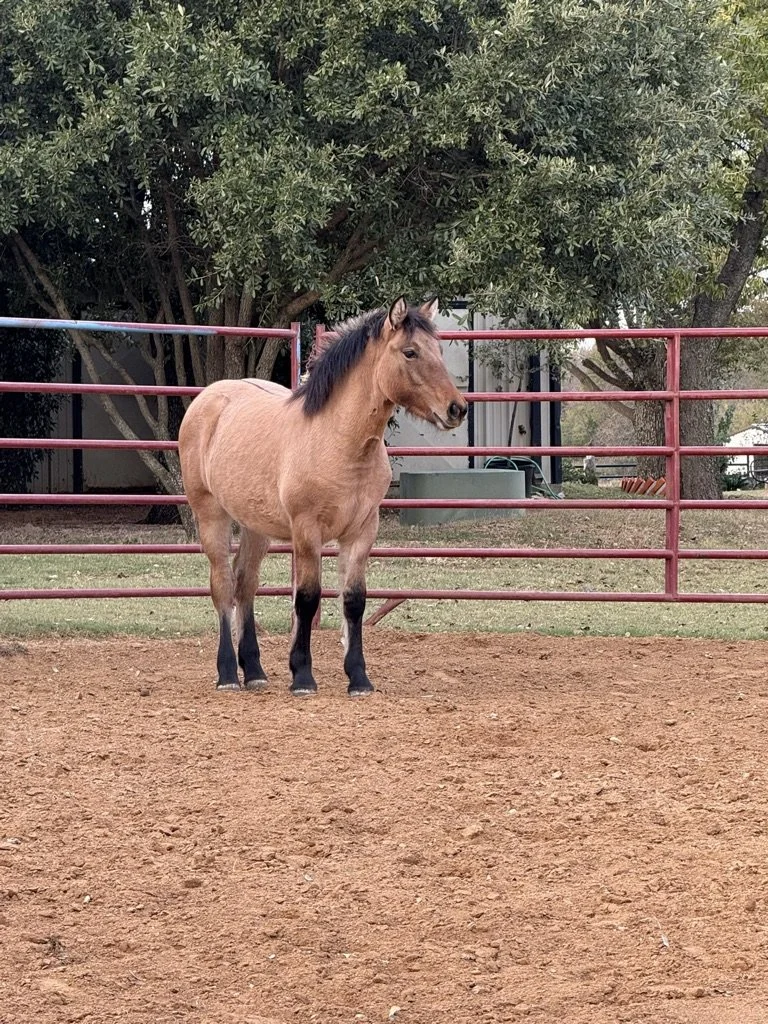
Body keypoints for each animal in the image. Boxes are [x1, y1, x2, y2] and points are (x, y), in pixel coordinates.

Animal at [178, 296, 467, 696]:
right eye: (410, 352)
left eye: (438, 351)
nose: (457, 408)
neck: (337, 440)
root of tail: (208, 398)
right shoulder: (306, 531)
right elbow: (307, 598)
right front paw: (302, 676)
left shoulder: (362, 531)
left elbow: (354, 600)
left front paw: (359, 678)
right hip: (211, 516)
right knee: (222, 585)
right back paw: (227, 675)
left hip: (256, 527)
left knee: (245, 585)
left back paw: (254, 672)